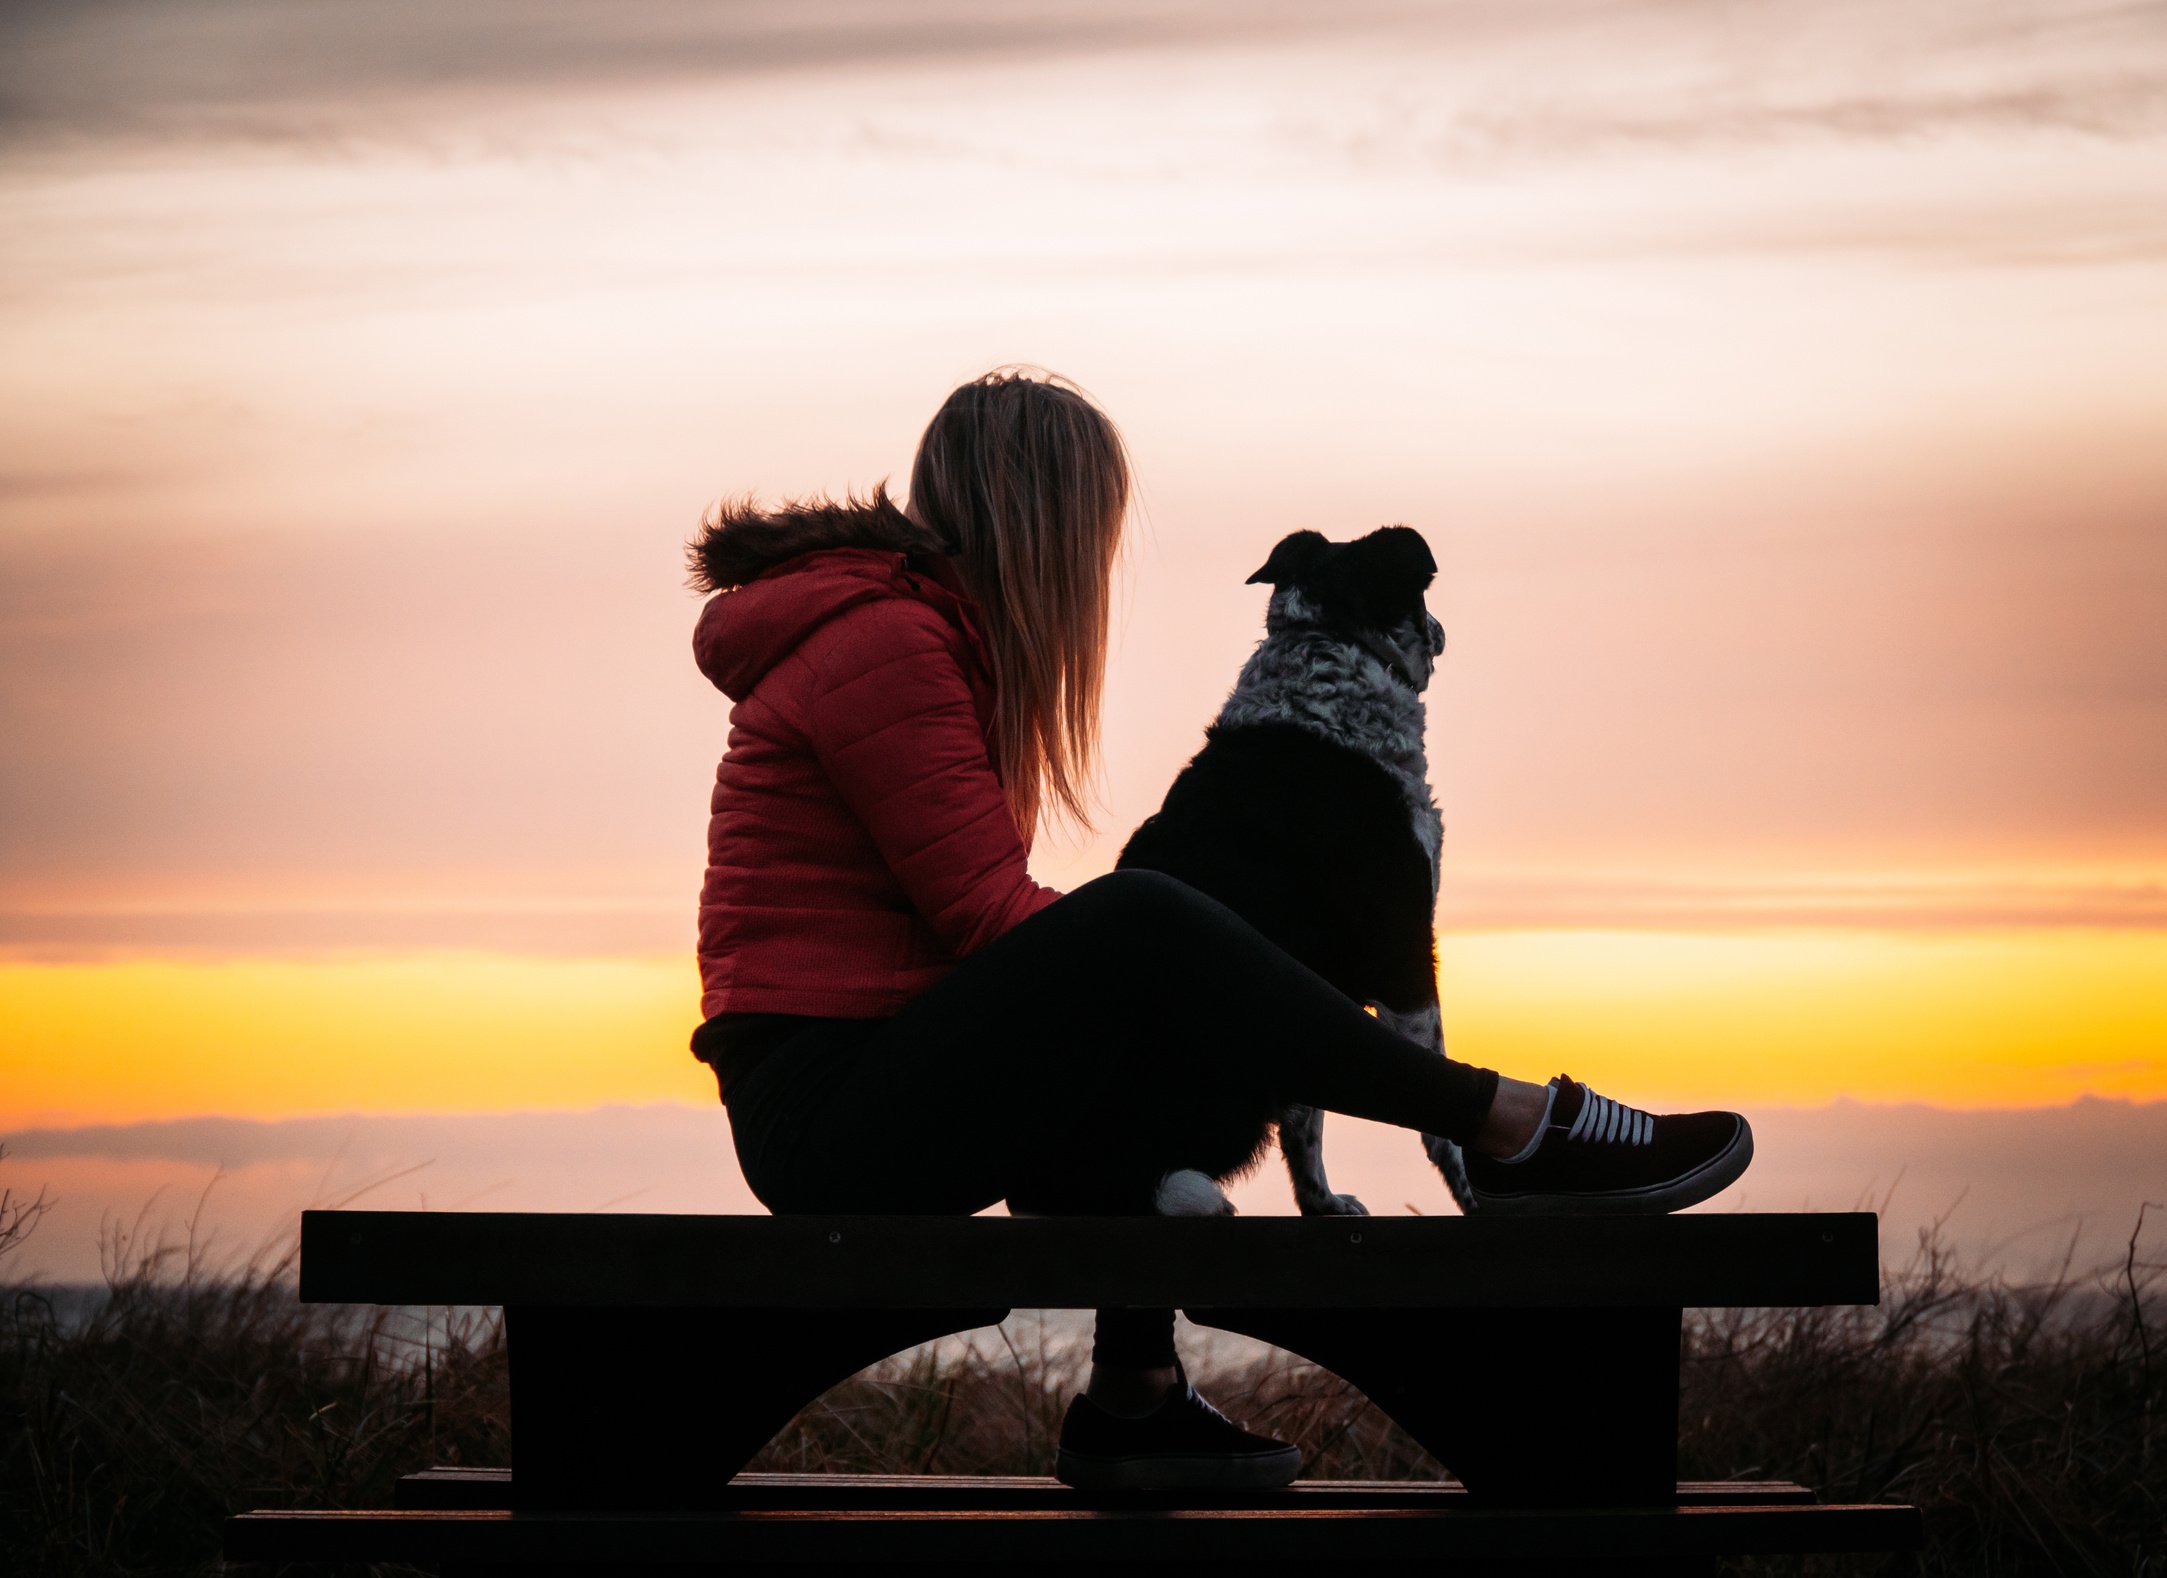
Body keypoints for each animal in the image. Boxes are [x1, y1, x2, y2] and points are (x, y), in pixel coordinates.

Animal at [1118, 526, 1473, 1222]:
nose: (1445, 627)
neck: (1332, 650)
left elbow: (1306, 1123)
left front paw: (1322, 1203)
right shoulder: (1402, 948)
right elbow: (1443, 1118)